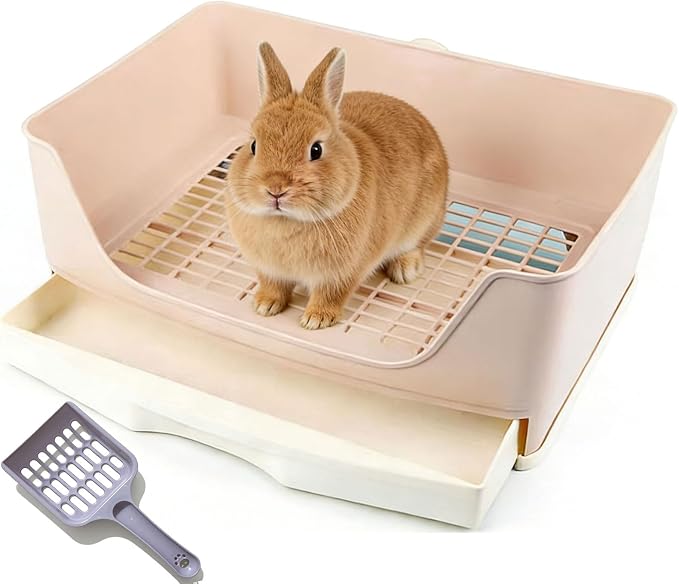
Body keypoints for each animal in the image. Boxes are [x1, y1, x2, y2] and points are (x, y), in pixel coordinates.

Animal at [225, 42, 448, 330]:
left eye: (316, 150)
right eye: (253, 145)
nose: (276, 189)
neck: (286, 221)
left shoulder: (342, 273)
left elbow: (331, 294)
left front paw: (316, 320)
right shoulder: (269, 270)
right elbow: (273, 286)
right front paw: (265, 305)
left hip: (425, 219)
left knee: (418, 244)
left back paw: (404, 270)